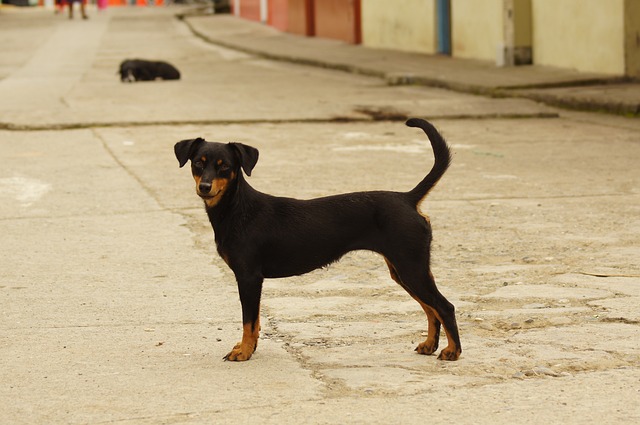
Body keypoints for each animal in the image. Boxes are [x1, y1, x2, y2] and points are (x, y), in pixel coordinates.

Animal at [174, 118, 460, 362]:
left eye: (225, 166)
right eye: (198, 163)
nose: (205, 187)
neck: (236, 209)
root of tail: (408, 198)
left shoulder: (249, 277)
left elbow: (249, 321)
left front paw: (244, 352)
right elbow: (254, 322)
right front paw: (248, 348)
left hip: (411, 268)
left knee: (444, 306)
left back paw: (452, 351)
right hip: (404, 271)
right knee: (431, 308)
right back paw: (430, 346)